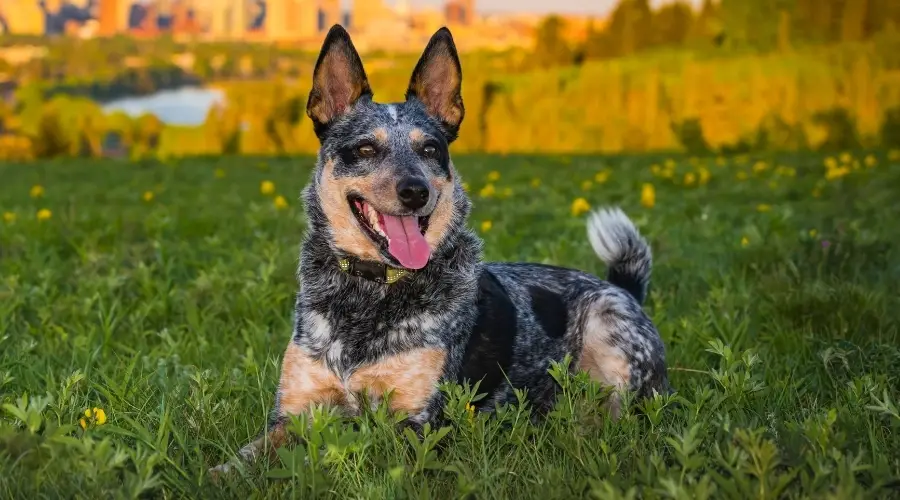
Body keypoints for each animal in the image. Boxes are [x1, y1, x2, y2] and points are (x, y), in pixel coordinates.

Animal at [211, 24, 672, 476]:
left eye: (430, 149)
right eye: (365, 148)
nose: (416, 191)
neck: (371, 292)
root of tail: (624, 288)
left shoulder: (416, 425)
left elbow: (333, 452)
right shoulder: (293, 412)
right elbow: (241, 459)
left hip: (612, 334)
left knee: (620, 414)